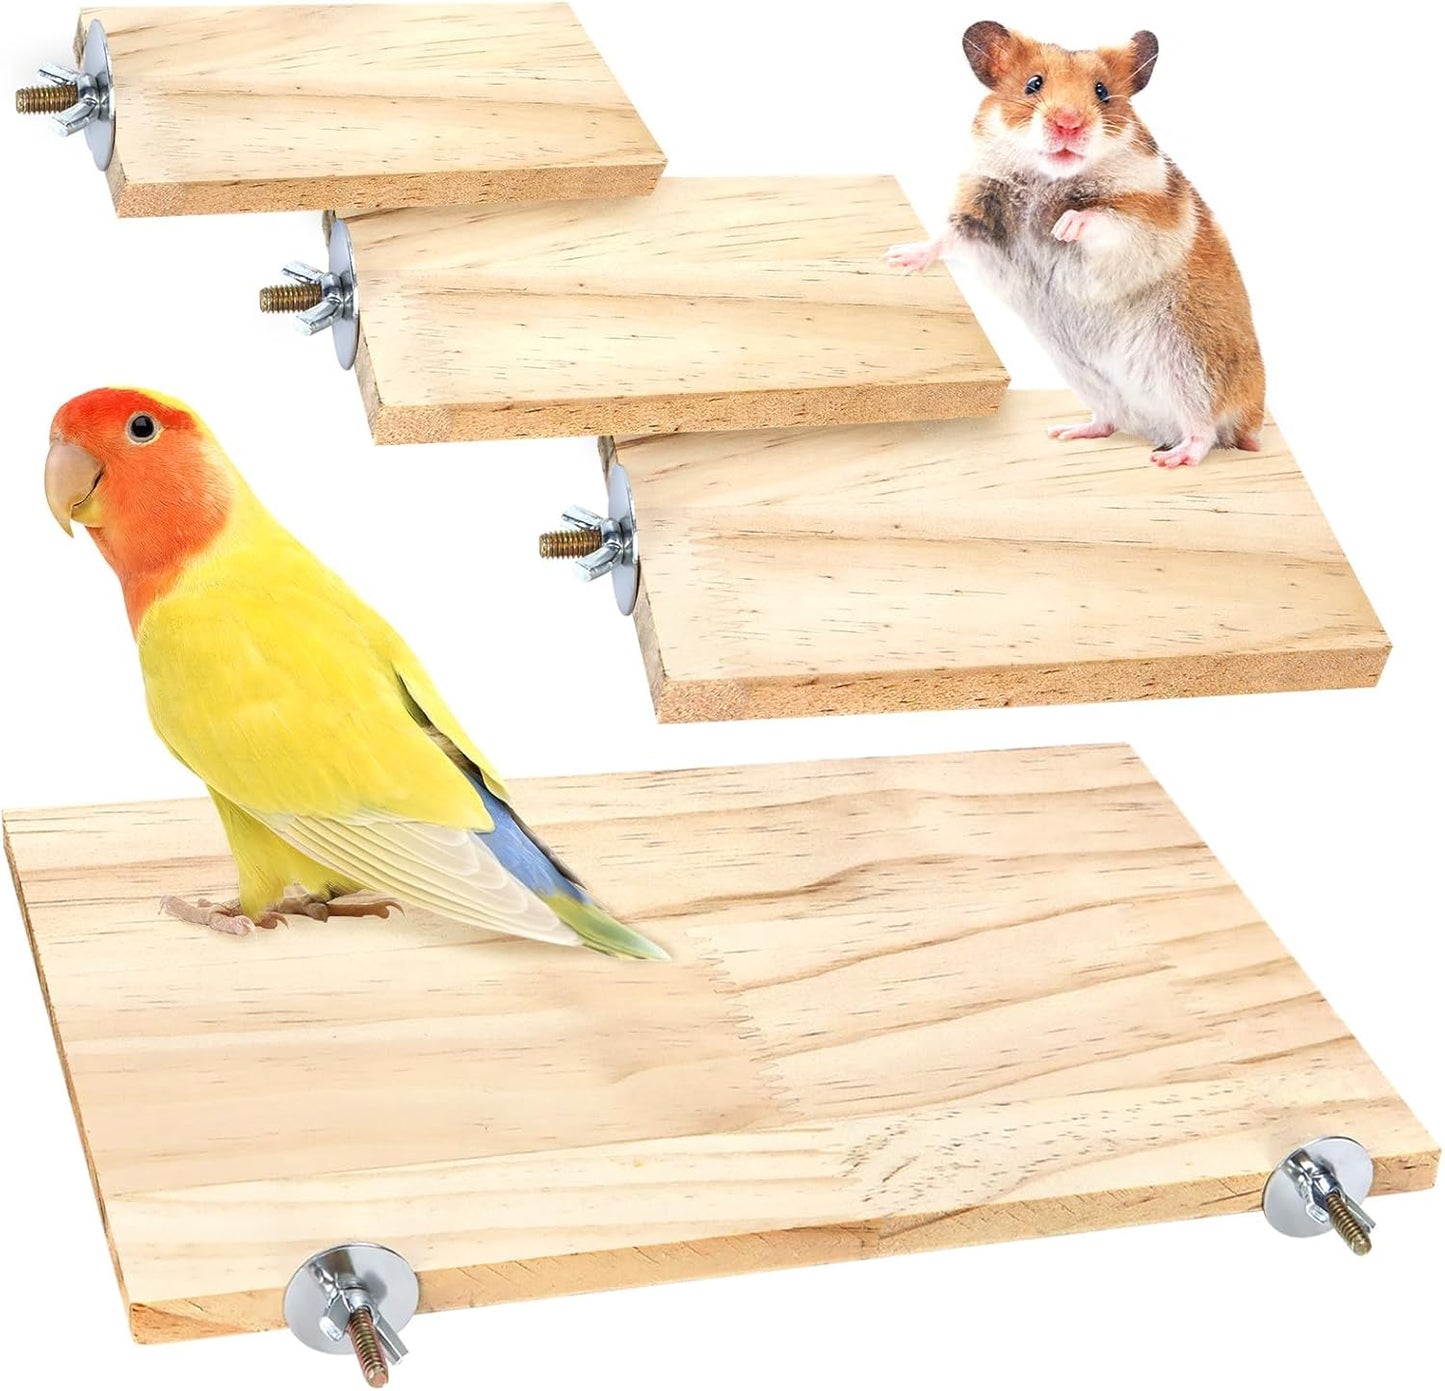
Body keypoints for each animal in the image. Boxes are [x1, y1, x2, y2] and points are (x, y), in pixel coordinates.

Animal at [887, 21, 1264, 468]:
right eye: (1033, 84)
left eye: (1102, 91)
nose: (1069, 123)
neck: (1047, 177)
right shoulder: (978, 212)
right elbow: (946, 235)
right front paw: (897, 258)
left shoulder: (1146, 217)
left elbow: (1102, 219)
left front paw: (1064, 228)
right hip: (1088, 377)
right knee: (1110, 420)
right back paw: (1067, 432)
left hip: (1191, 364)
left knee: (1205, 431)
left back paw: (1170, 458)